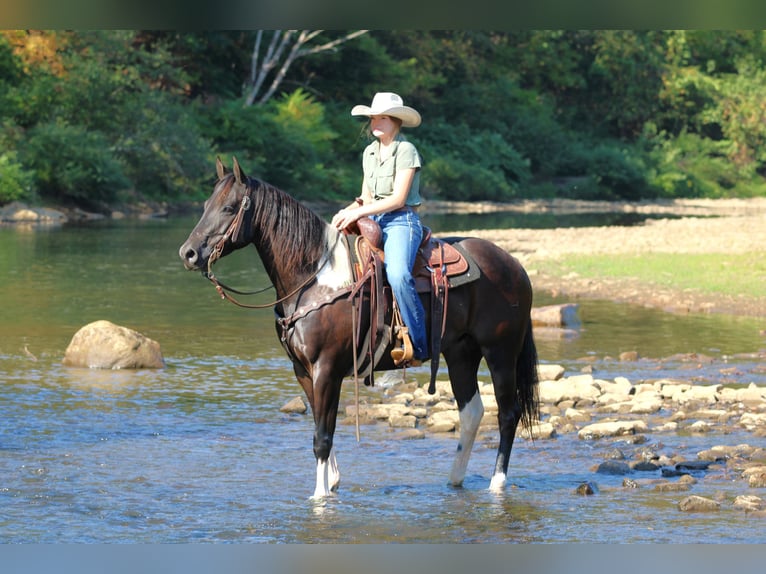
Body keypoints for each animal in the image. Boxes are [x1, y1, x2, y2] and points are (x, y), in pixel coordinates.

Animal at [179, 157, 539, 499]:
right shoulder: (303, 371)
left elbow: (322, 437)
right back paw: (454, 480)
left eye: (228, 208)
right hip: (460, 353)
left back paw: (497, 482)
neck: (314, 280)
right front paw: (333, 482)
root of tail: (514, 265)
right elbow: (320, 425)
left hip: (500, 352)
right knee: (471, 412)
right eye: (205, 205)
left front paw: (320, 497)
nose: (188, 253)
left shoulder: (327, 370)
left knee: (508, 414)